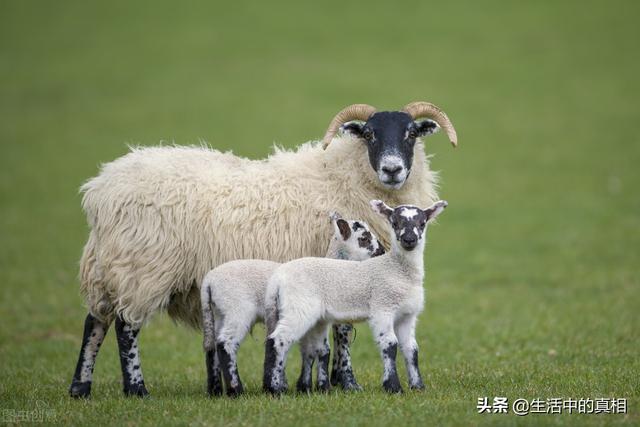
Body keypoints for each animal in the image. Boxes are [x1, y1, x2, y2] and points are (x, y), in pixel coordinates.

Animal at [200, 212, 384, 396]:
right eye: (364, 238)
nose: (382, 252)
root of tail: (208, 282)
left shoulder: (316, 322)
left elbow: (312, 351)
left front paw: (306, 387)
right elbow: (323, 350)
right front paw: (322, 387)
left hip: (219, 313)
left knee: (212, 347)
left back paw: (215, 390)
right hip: (238, 310)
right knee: (226, 343)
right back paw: (237, 390)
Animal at [262, 200, 448, 394]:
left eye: (422, 223)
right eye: (394, 223)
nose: (409, 240)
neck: (396, 270)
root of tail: (277, 279)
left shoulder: (407, 315)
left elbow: (411, 348)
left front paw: (418, 387)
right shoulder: (382, 308)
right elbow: (389, 344)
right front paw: (393, 387)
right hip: (299, 307)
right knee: (278, 340)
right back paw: (274, 389)